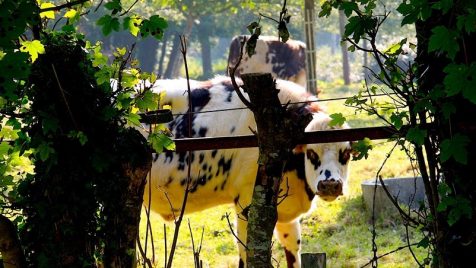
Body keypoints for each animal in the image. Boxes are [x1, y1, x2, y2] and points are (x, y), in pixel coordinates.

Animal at [143, 76, 352, 268]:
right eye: (311, 153)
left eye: (346, 153)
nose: (330, 184)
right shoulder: (246, 201)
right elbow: (246, 249)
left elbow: (292, 246)